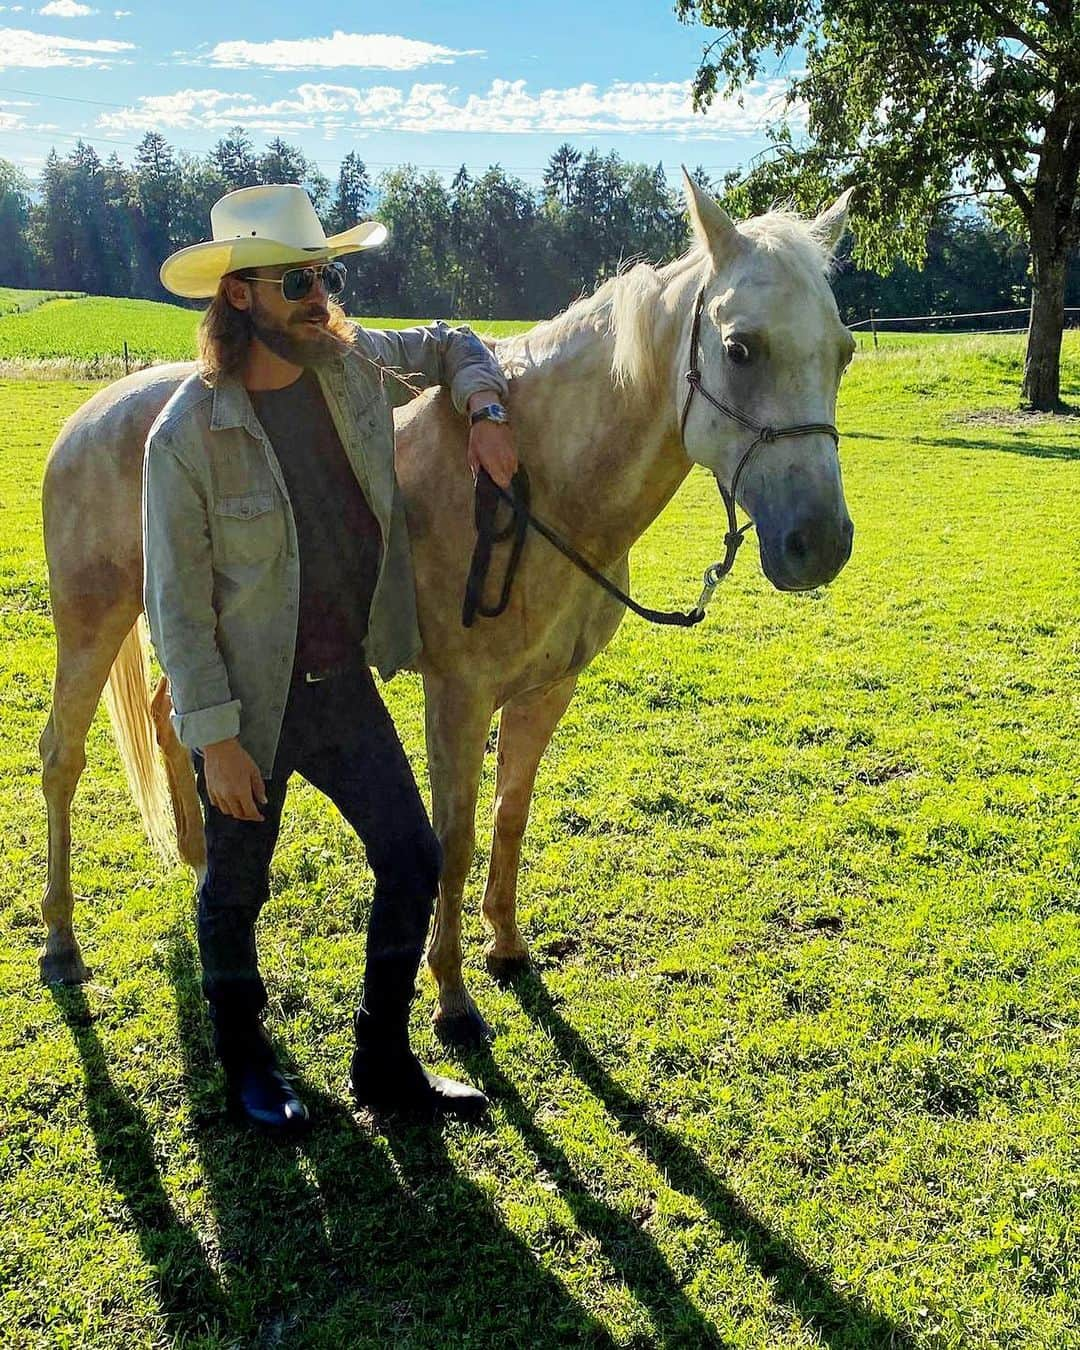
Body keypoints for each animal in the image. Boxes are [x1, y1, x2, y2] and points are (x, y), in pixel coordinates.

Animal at [37, 176, 858, 1042]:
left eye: (843, 351)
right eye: (740, 348)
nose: (820, 543)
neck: (538, 489)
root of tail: (95, 412)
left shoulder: (546, 691)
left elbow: (510, 816)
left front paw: (507, 947)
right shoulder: (458, 698)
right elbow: (454, 839)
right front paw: (453, 995)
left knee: (179, 719)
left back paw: (199, 866)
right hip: (92, 624)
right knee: (63, 757)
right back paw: (61, 942)